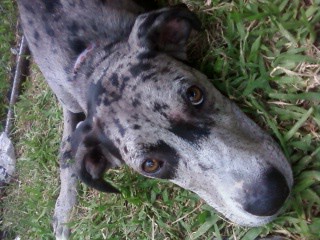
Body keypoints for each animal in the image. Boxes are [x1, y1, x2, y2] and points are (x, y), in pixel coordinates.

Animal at [16, 0, 292, 239]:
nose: (269, 197)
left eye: (194, 94)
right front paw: (64, 210)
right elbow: (66, 152)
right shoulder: (68, 103)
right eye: (151, 165)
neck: (90, 57)